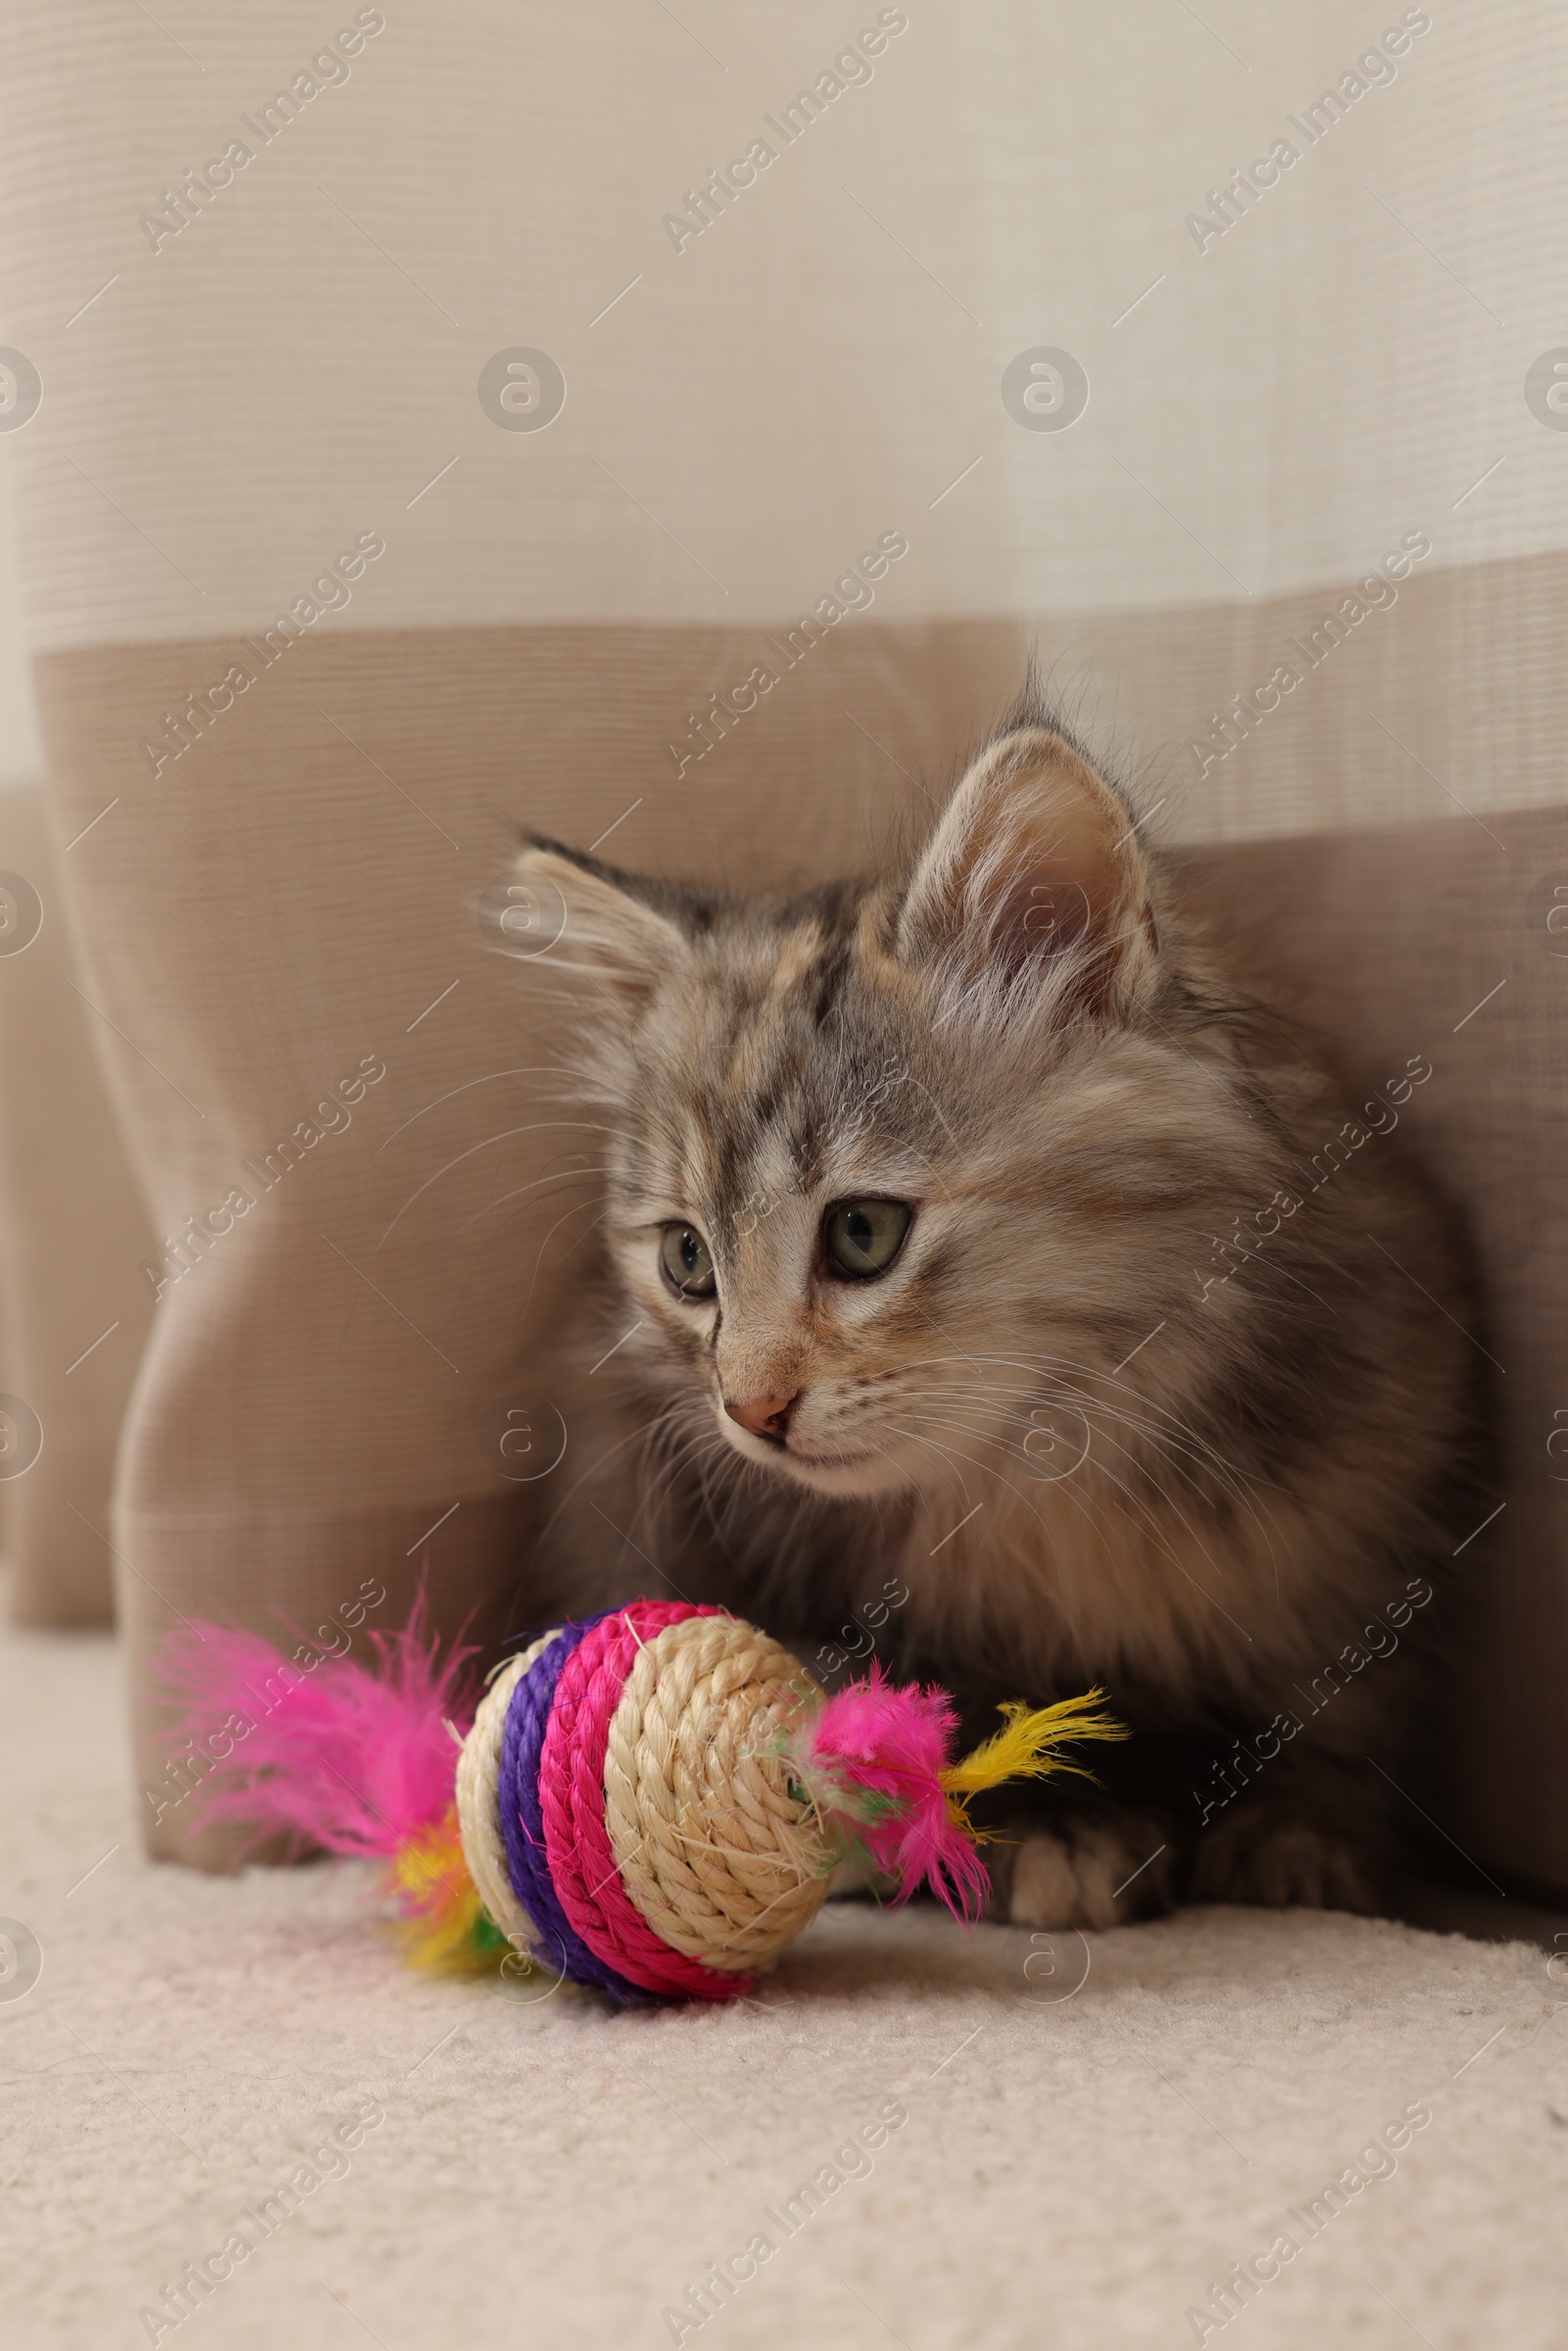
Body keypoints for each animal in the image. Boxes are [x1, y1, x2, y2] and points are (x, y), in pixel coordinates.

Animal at [514, 705, 1486, 1918]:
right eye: (688, 1260)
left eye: (862, 1233)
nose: (750, 1410)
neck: (1061, 1466)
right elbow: (948, 1712)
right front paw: (1050, 1818)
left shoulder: (1371, 1493)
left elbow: (1347, 1694)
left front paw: (1305, 1831)